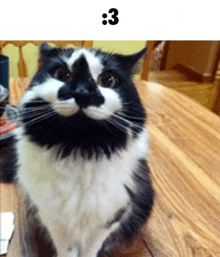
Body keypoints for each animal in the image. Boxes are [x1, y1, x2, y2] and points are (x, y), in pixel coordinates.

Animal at [0, 45, 154, 256]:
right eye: (62, 74)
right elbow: (67, 250)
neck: (79, 150)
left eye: (108, 80)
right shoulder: (54, 219)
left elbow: (90, 250)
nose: (82, 93)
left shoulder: (107, 219)